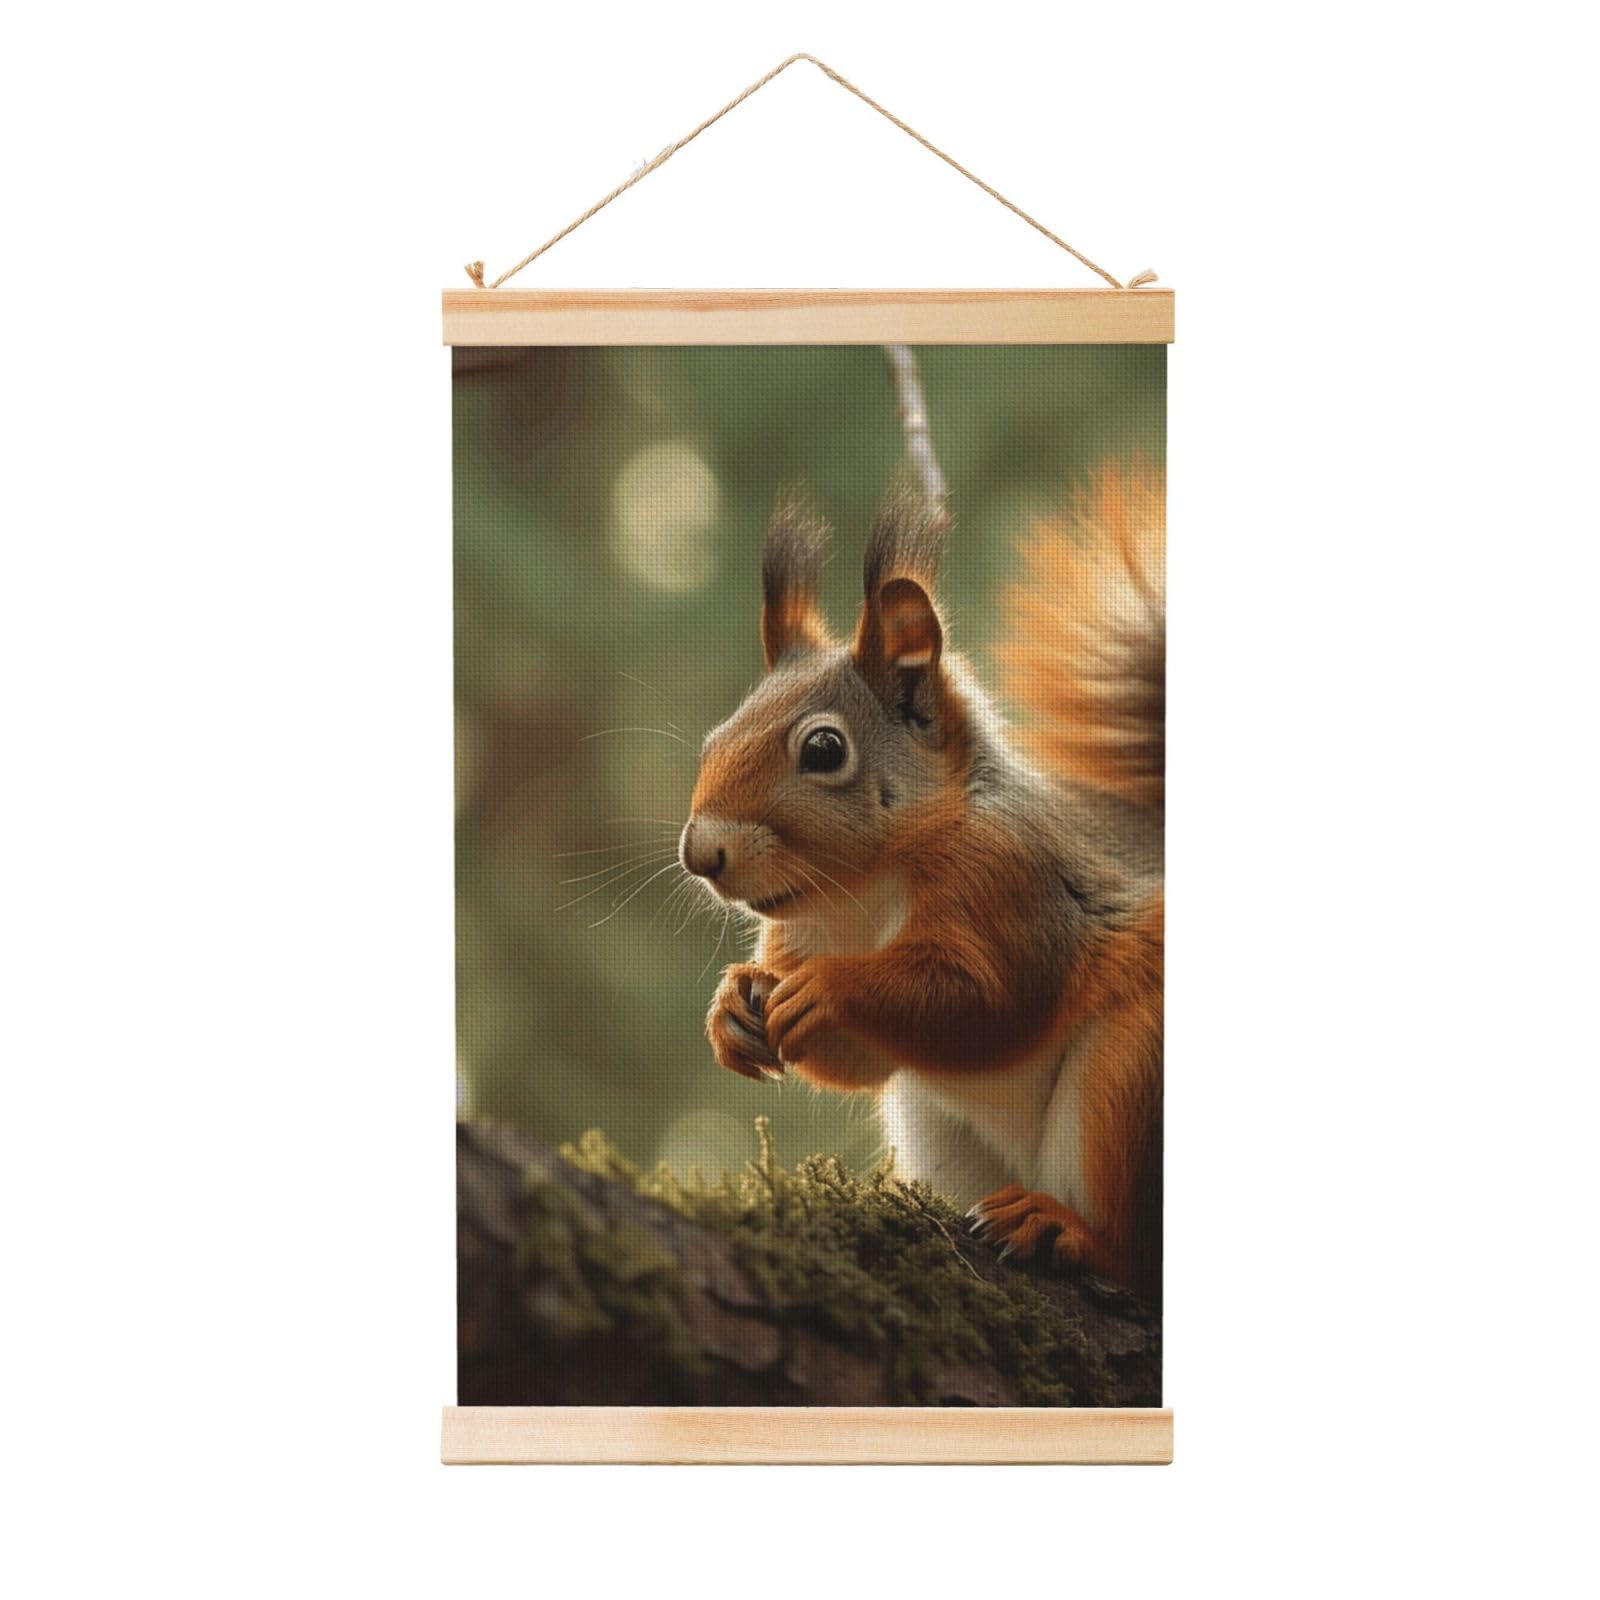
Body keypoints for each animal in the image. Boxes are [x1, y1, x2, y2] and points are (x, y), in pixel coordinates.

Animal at [678, 464, 1164, 1300]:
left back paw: (1070, 1233)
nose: (699, 854)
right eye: (713, 741)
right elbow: (864, 1058)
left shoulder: (1012, 879)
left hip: (1136, 1068)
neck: (862, 893)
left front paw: (829, 988)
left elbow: (988, 998)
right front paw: (734, 1005)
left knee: (1137, 1257)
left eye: (824, 749)